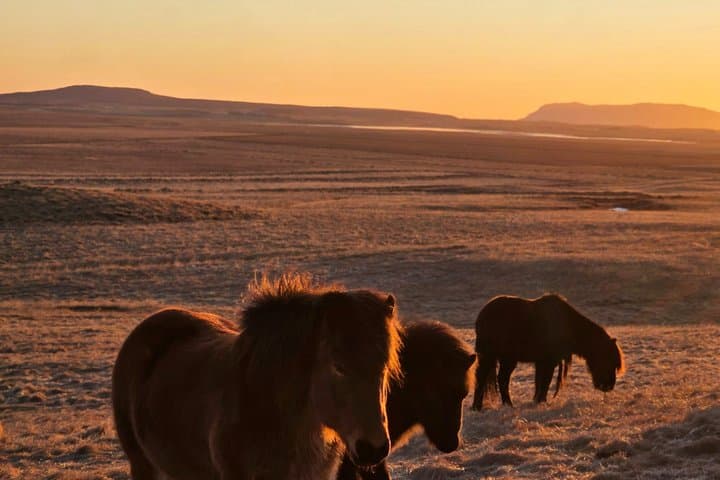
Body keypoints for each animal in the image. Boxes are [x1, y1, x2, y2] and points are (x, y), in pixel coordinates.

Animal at [471, 293, 625, 410]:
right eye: (609, 359)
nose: (608, 386)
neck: (568, 326)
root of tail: (482, 316)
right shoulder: (548, 362)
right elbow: (545, 383)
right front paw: (541, 402)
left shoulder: (542, 363)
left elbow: (540, 383)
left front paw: (537, 402)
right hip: (495, 357)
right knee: (489, 378)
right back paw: (487, 406)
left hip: (504, 359)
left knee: (497, 379)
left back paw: (497, 405)